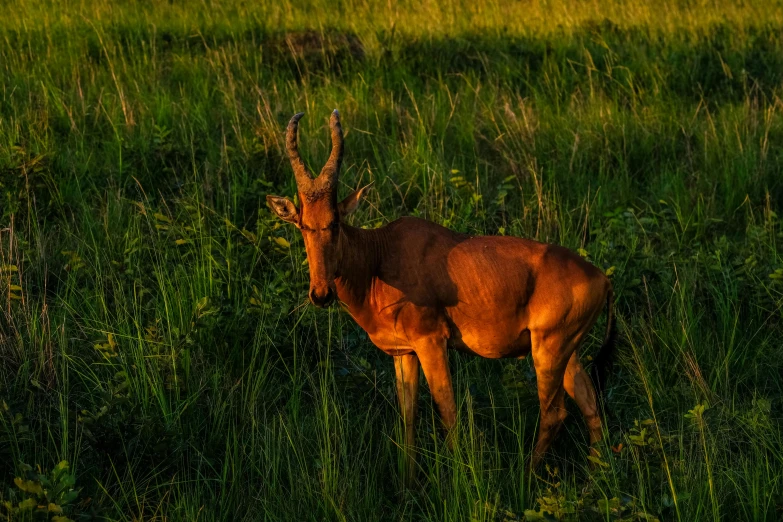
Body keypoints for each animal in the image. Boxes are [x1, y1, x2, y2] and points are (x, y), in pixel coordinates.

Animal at [266, 111, 616, 478]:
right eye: (303, 224)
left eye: (334, 222)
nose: (321, 294)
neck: (380, 254)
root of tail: (602, 279)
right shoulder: (404, 353)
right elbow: (409, 416)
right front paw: (409, 482)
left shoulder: (432, 342)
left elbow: (447, 411)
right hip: (566, 350)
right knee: (590, 404)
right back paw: (596, 476)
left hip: (549, 350)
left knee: (554, 412)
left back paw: (526, 475)